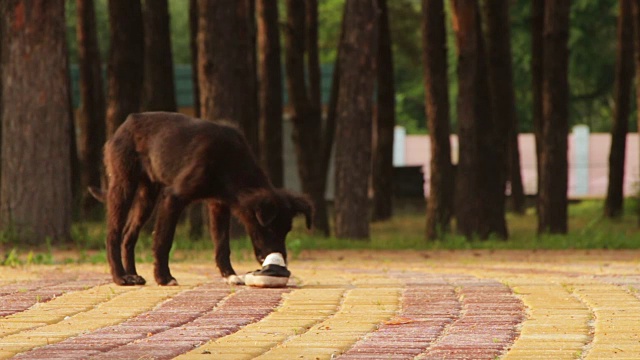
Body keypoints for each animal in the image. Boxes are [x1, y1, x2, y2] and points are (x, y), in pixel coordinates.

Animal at [90, 111, 312, 286]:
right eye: (270, 229)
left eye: (286, 231)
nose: (281, 263)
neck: (231, 161)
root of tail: (126, 123)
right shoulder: (174, 198)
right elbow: (163, 240)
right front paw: (163, 277)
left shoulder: (218, 204)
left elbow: (222, 243)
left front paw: (230, 275)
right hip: (124, 184)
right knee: (113, 234)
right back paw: (121, 277)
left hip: (147, 194)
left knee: (129, 234)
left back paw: (133, 274)